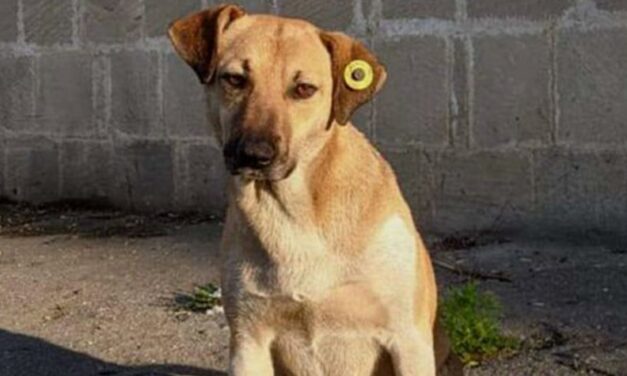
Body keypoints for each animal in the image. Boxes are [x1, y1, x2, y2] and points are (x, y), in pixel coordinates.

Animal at [169, 3, 464, 376]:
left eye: (304, 89)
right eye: (235, 79)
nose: (254, 154)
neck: (297, 216)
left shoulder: (407, 339)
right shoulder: (248, 340)